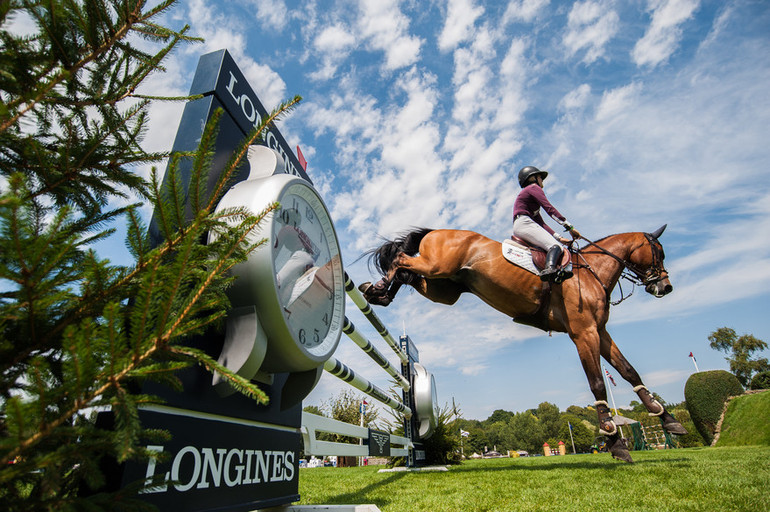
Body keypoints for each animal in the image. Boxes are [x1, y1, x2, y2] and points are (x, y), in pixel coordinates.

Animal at [356, 226, 688, 462]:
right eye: (659, 253)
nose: (666, 286)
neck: (592, 271)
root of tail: (435, 230)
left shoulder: (600, 332)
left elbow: (629, 371)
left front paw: (668, 419)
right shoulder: (584, 333)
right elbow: (596, 383)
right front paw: (614, 439)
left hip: (443, 288)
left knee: (408, 273)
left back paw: (379, 292)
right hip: (436, 266)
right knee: (401, 261)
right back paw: (378, 287)